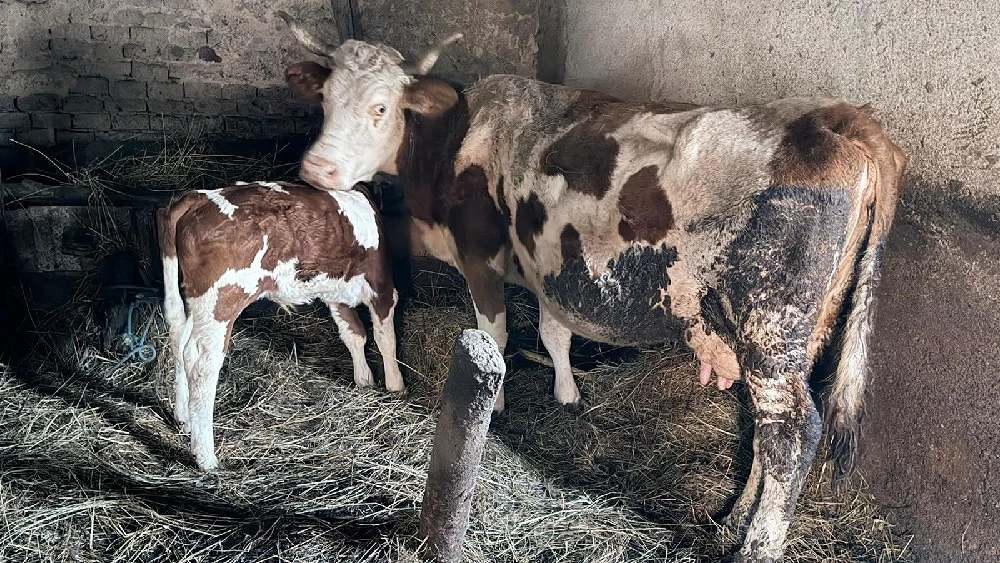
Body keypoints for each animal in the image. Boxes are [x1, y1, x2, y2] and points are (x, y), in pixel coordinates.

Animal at [158, 180, 404, 472]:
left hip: (196, 302)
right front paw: (396, 386)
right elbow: (385, 338)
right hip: (222, 299)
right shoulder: (382, 287)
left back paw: (183, 417)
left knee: (178, 338)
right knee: (201, 362)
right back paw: (205, 456)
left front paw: (364, 381)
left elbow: (353, 334)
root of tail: (199, 197)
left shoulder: (335, 293)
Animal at [276, 15, 906, 562]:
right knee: (768, 430)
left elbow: (494, 333)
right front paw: (566, 394)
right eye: (325, 102)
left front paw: (496, 404)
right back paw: (730, 522)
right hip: (801, 330)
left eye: (380, 108)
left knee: (791, 434)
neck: (451, 145)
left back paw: (754, 547)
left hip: (771, 324)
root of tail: (837, 118)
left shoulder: (480, 255)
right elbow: (554, 334)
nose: (317, 171)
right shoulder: (550, 268)